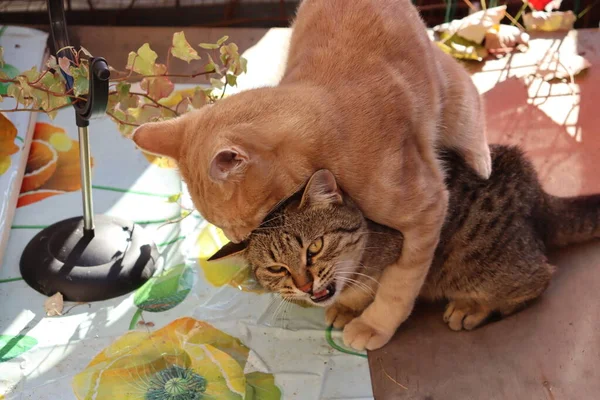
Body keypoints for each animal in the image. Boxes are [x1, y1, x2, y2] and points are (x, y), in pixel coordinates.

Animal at [134, 0, 490, 350]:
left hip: (448, 99)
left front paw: (374, 324)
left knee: (465, 84)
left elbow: (398, 282)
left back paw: (481, 156)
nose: (237, 243)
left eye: (238, 225)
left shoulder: (427, 213)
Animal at [207, 147, 600, 344]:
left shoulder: (402, 251)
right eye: (277, 268)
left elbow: (373, 290)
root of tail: (537, 190)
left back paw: (473, 306)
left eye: (314, 247)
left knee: (541, 276)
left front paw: (356, 311)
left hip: (478, 264)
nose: (305, 285)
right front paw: (344, 305)